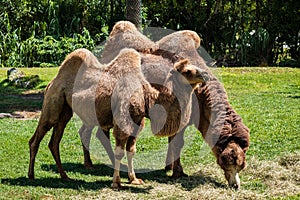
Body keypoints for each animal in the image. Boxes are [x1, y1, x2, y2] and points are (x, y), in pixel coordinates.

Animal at [28, 46, 206, 188]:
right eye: (188, 71)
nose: (204, 75)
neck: (147, 95)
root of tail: (52, 82)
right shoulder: (123, 121)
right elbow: (119, 151)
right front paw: (116, 182)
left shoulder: (137, 122)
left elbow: (131, 150)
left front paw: (134, 179)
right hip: (53, 104)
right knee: (37, 138)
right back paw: (31, 176)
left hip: (65, 112)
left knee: (54, 142)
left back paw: (65, 176)